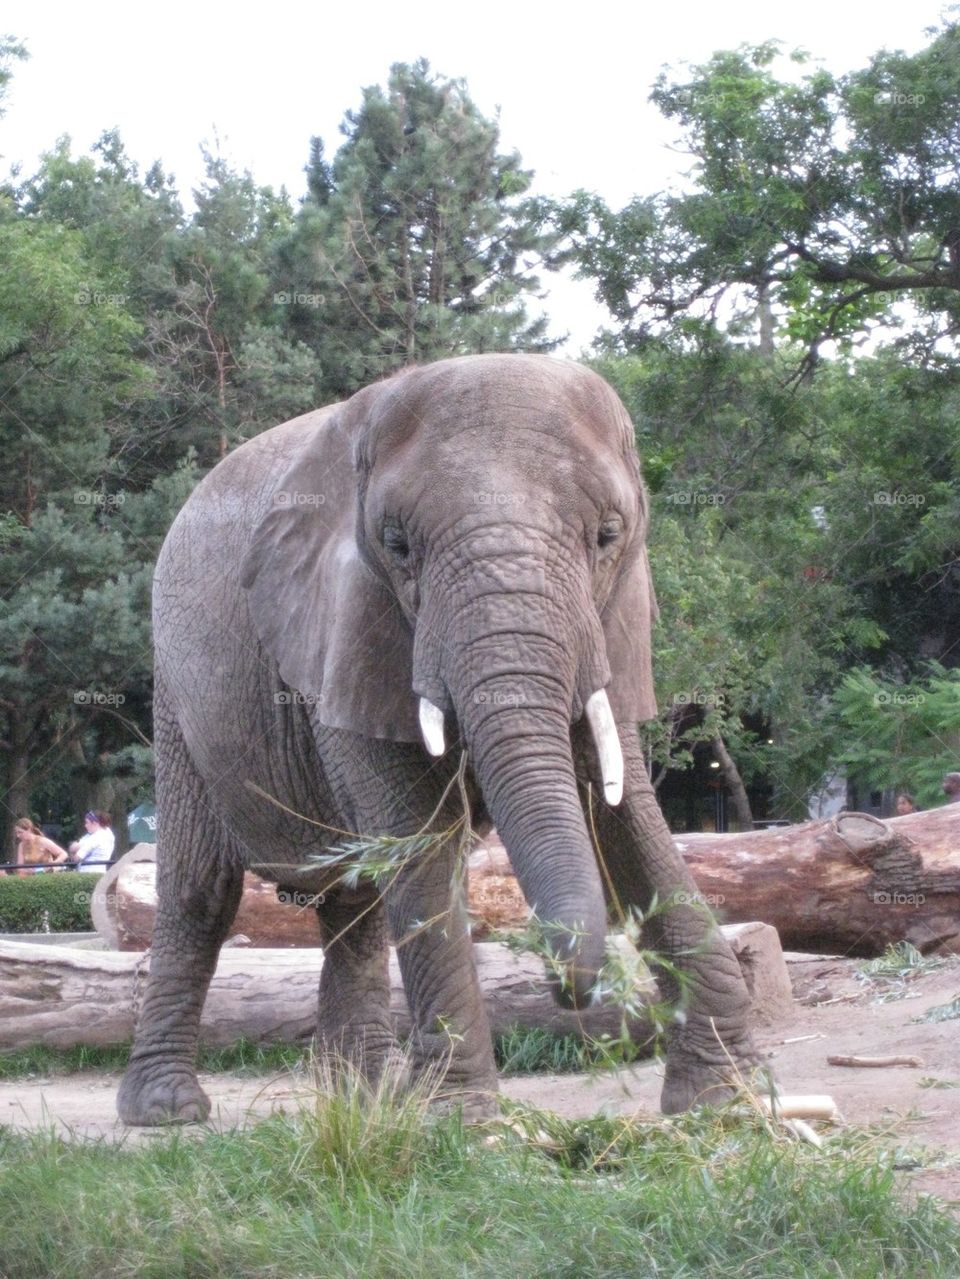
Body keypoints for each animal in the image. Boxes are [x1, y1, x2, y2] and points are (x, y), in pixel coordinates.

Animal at [117, 353, 760, 1125]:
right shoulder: (347, 623)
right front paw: (459, 1119)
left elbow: (629, 817)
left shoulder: (608, 628)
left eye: (608, 535)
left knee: (356, 899)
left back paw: (359, 1098)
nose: (572, 989)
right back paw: (168, 1109)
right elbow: (421, 840)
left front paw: (727, 1100)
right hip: (176, 691)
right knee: (201, 892)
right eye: (398, 545)